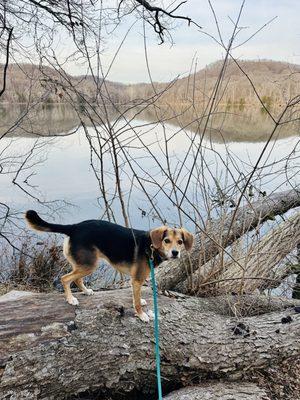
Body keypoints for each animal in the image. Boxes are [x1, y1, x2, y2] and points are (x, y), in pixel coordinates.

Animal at [25, 211, 195, 324]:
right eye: (166, 240)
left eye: (180, 242)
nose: (175, 253)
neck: (151, 246)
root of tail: (74, 227)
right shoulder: (137, 279)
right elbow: (137, 301)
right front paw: (142, 315)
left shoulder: (135, 280)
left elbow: (135, 296)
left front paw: (139, 302)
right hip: (89, 264)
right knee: (65, 278)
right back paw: (71, 299)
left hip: (84, 264)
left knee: (77, 279)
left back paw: (85, 291)